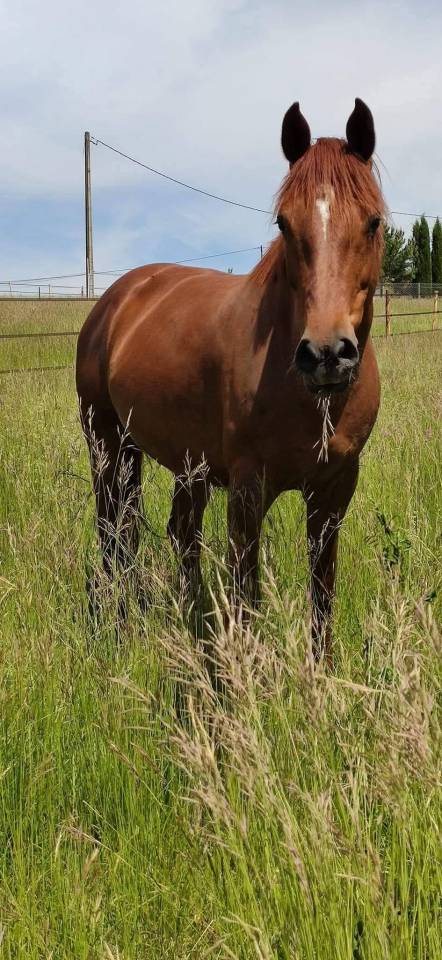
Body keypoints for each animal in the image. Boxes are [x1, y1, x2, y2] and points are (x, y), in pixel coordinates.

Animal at [76, 97, 385, 663]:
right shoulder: (247, 490)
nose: (326, 355)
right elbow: (247, 593)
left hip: (186, 463)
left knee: (179, 533)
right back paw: (118, 626)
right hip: (108, 444)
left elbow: (322, 591)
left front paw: (321, 672)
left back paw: (184, 617)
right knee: (115, 533)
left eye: (372, 222)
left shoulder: (334, 489)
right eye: (284, 223)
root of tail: (119, 297)